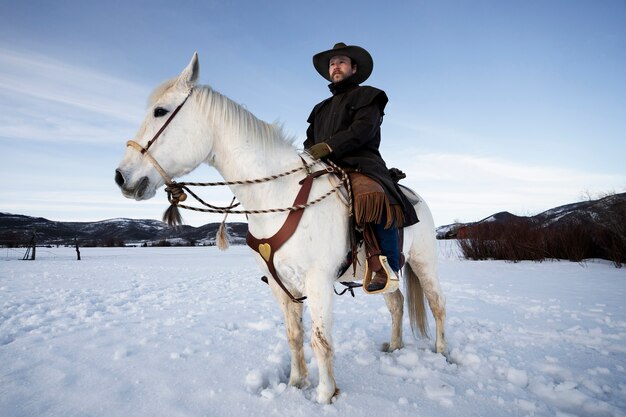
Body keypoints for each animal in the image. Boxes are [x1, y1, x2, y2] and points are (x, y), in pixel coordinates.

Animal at [113, 52, 444, 404]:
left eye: (160, 111)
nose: (121, 176)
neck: (278, 196)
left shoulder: (318, 282)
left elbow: (320, 340)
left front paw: (325, 394)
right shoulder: (280, 284)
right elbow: (294, 335)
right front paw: (296, 383)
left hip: (423, 263)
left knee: (437, 304)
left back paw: (442, 352)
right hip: (386, 273)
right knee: (396, 304)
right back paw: (394, 347)